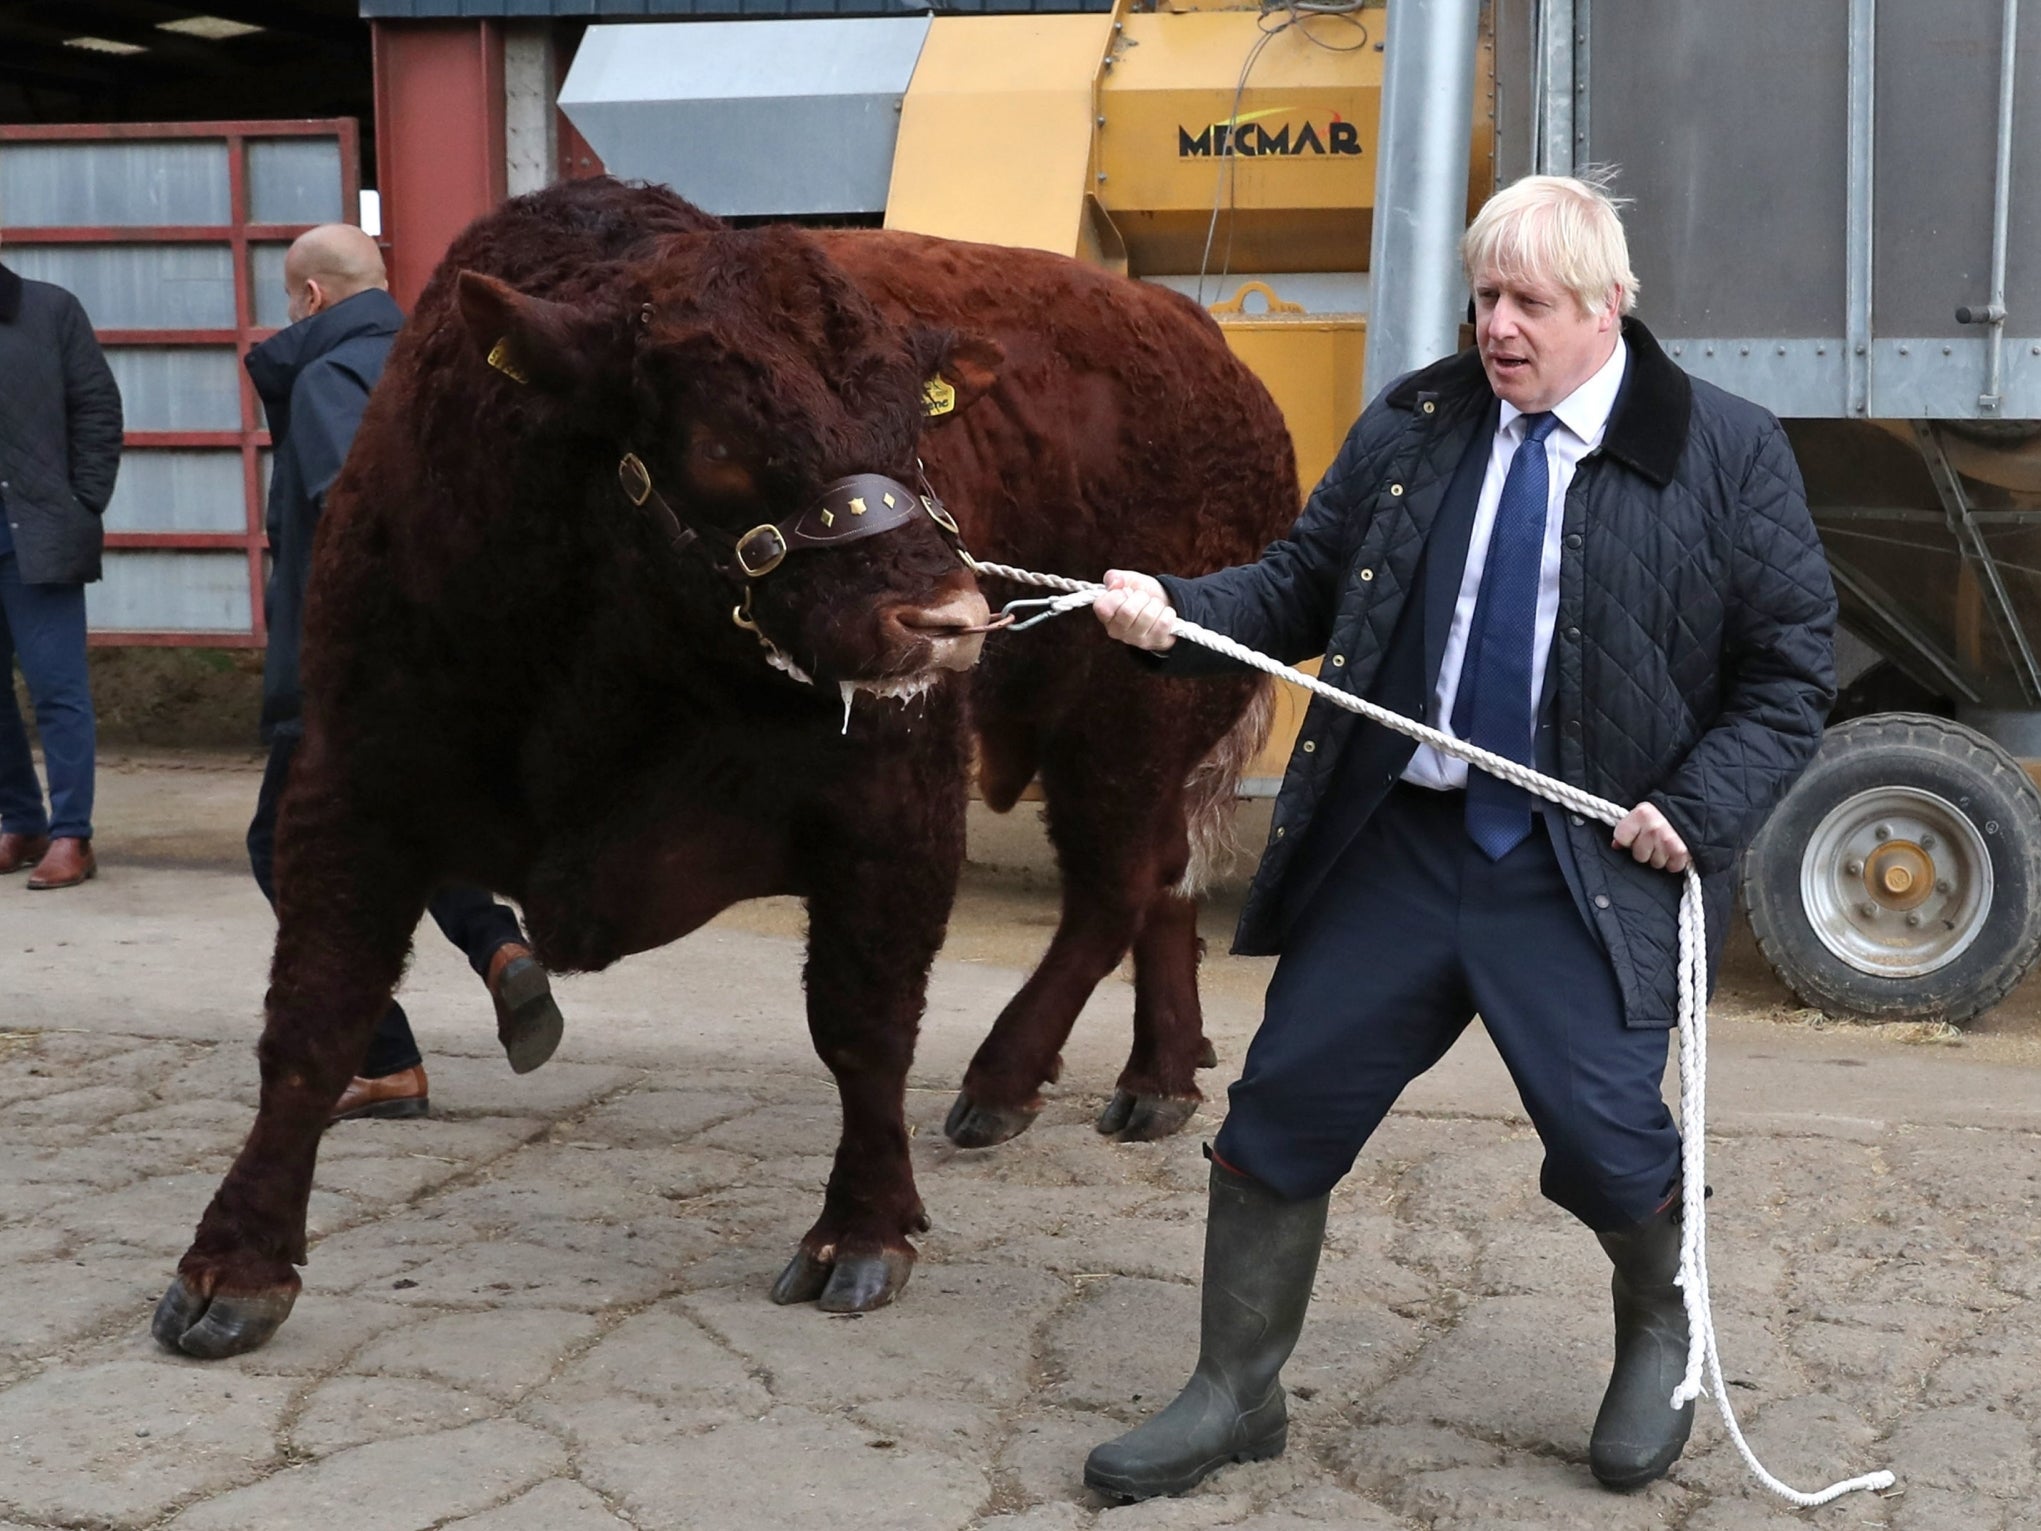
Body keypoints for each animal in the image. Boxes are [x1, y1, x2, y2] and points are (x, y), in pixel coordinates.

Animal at [155, 173, 1289, 1363]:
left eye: (916, 428)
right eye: (717, 440)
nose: (947, 620)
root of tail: (1206, 347)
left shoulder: (891, 809)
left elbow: (862, 1026)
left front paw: (860, 1232)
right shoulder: (353, 790)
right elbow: (311, 1021)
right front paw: (231, 1264)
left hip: (1127, 717)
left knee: (1118, 884)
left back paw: (1003, 1078)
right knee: (1158, 878)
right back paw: (1156, 1076)